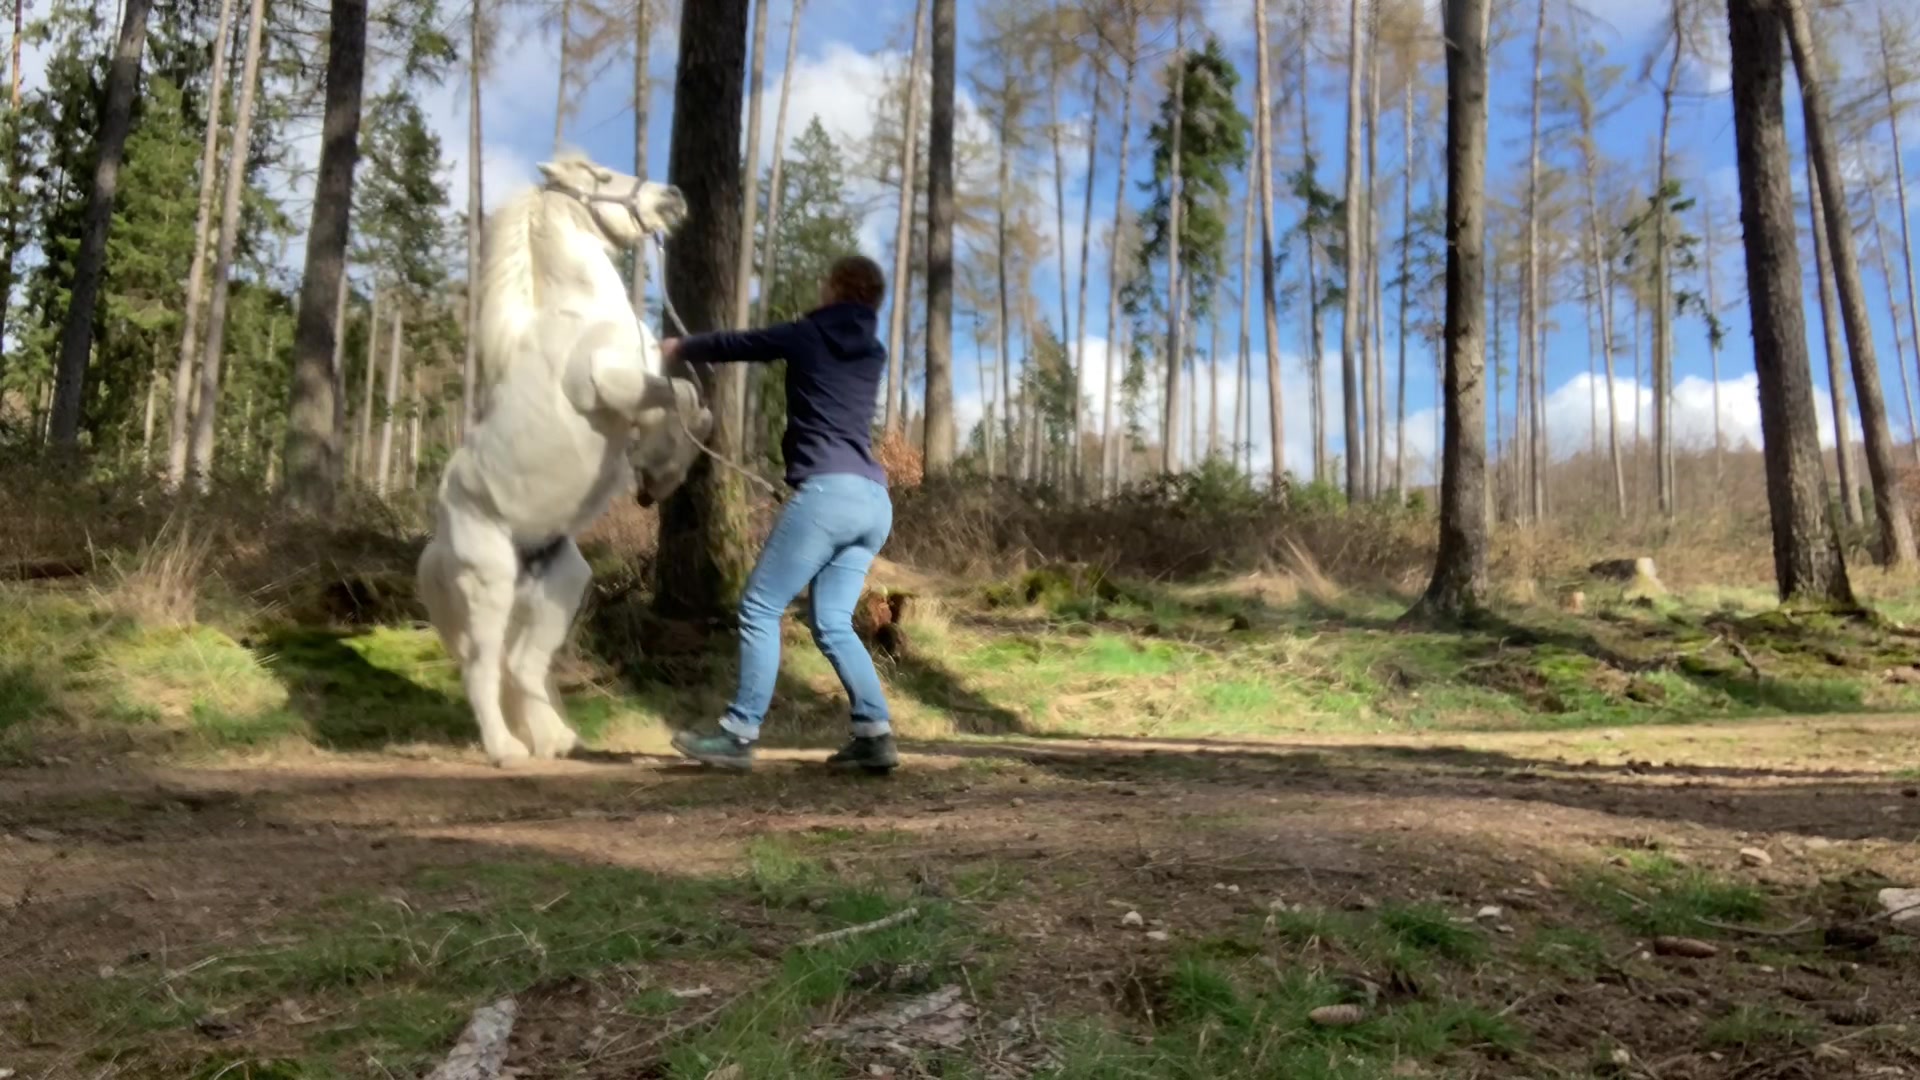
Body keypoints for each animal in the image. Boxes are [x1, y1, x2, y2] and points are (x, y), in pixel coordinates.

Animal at [416, 153, 713, 767]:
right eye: (600, 177)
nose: (673, 197)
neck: (582, 315)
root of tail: (437, 548)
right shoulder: (610, 384)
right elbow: (679, 395)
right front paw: (657, 471)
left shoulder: (639, 388)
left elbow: (691, 408)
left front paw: (660, 473)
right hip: (490, 585)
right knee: (483, 669)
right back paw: (507, 751)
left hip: (560, 584)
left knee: (521, 667)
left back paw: (557, 741)